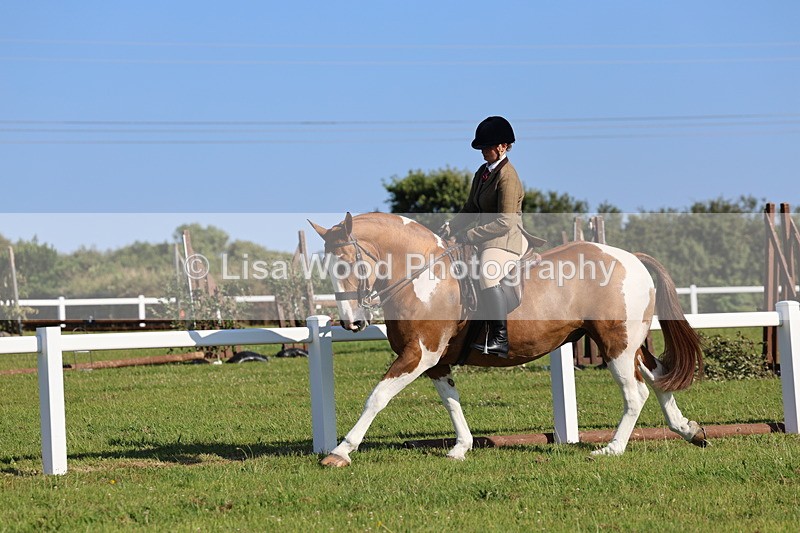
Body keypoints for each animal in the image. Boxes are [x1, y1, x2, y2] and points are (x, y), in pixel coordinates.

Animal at [308, 212, 706, 467]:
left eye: (348, 263)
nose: (352, 322)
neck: (423, 274)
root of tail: (631, 258)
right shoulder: (436, 361)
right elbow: (451, 402)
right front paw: (461, 448)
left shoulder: (419, 353)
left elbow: (377, 397)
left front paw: (341, 451)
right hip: (626, 343)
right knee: (658, 378)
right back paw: (689, 431)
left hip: (615, 344)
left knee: (635, 393)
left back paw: (612, 449)